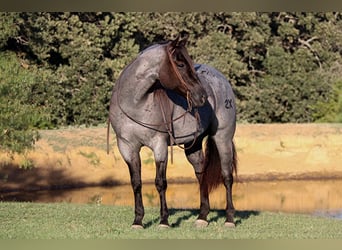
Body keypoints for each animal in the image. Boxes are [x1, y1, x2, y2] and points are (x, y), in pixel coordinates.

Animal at [108, 34, 236, 229]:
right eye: (181, 64)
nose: (202, 96)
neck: (136, 104)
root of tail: (221, 80)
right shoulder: (127, 148)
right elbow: (136, 183)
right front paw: (138, 220)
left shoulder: (159, 145)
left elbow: (160, 183)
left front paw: (164, 220)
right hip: (193, 145)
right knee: (201, 174)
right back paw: (202, 217)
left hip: (223, 139)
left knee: (227, 176)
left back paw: (229, 219)